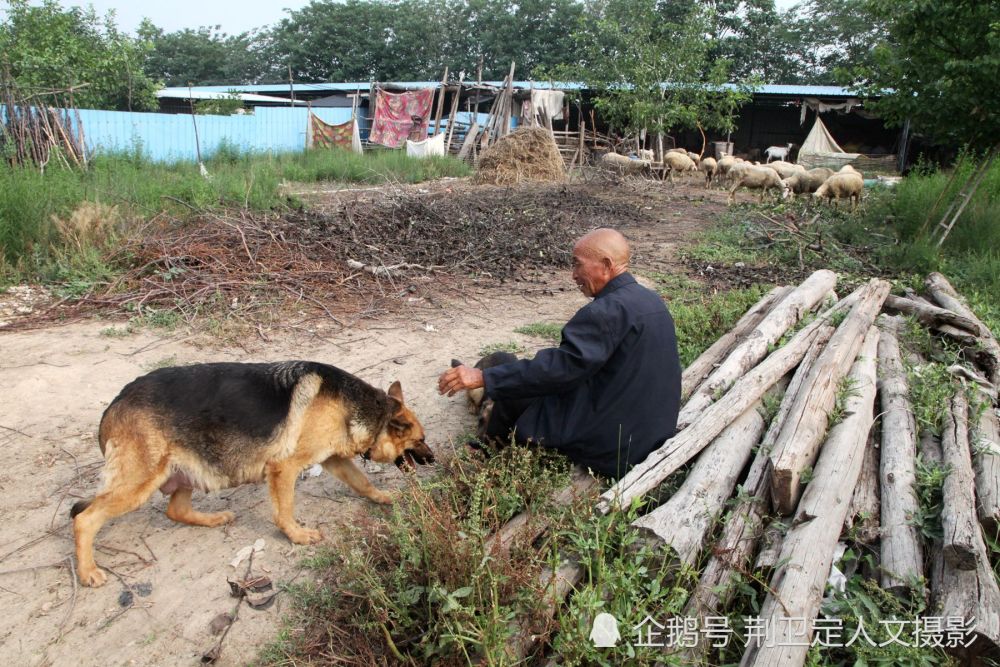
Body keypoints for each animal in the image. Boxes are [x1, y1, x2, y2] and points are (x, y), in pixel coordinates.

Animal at [70, 362, 430, 588]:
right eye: (420, 440)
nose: (434, 458)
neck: (361, 407)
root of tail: (115, 403)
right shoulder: (284, 468)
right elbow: (284, 511)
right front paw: (297, 536)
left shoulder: (334, 460)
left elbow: (362, 482)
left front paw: (382, 498)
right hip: (140, 483)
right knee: (85, 519)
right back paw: (88, 571)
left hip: (185, 470)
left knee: (176, 510)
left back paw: (214, 519)